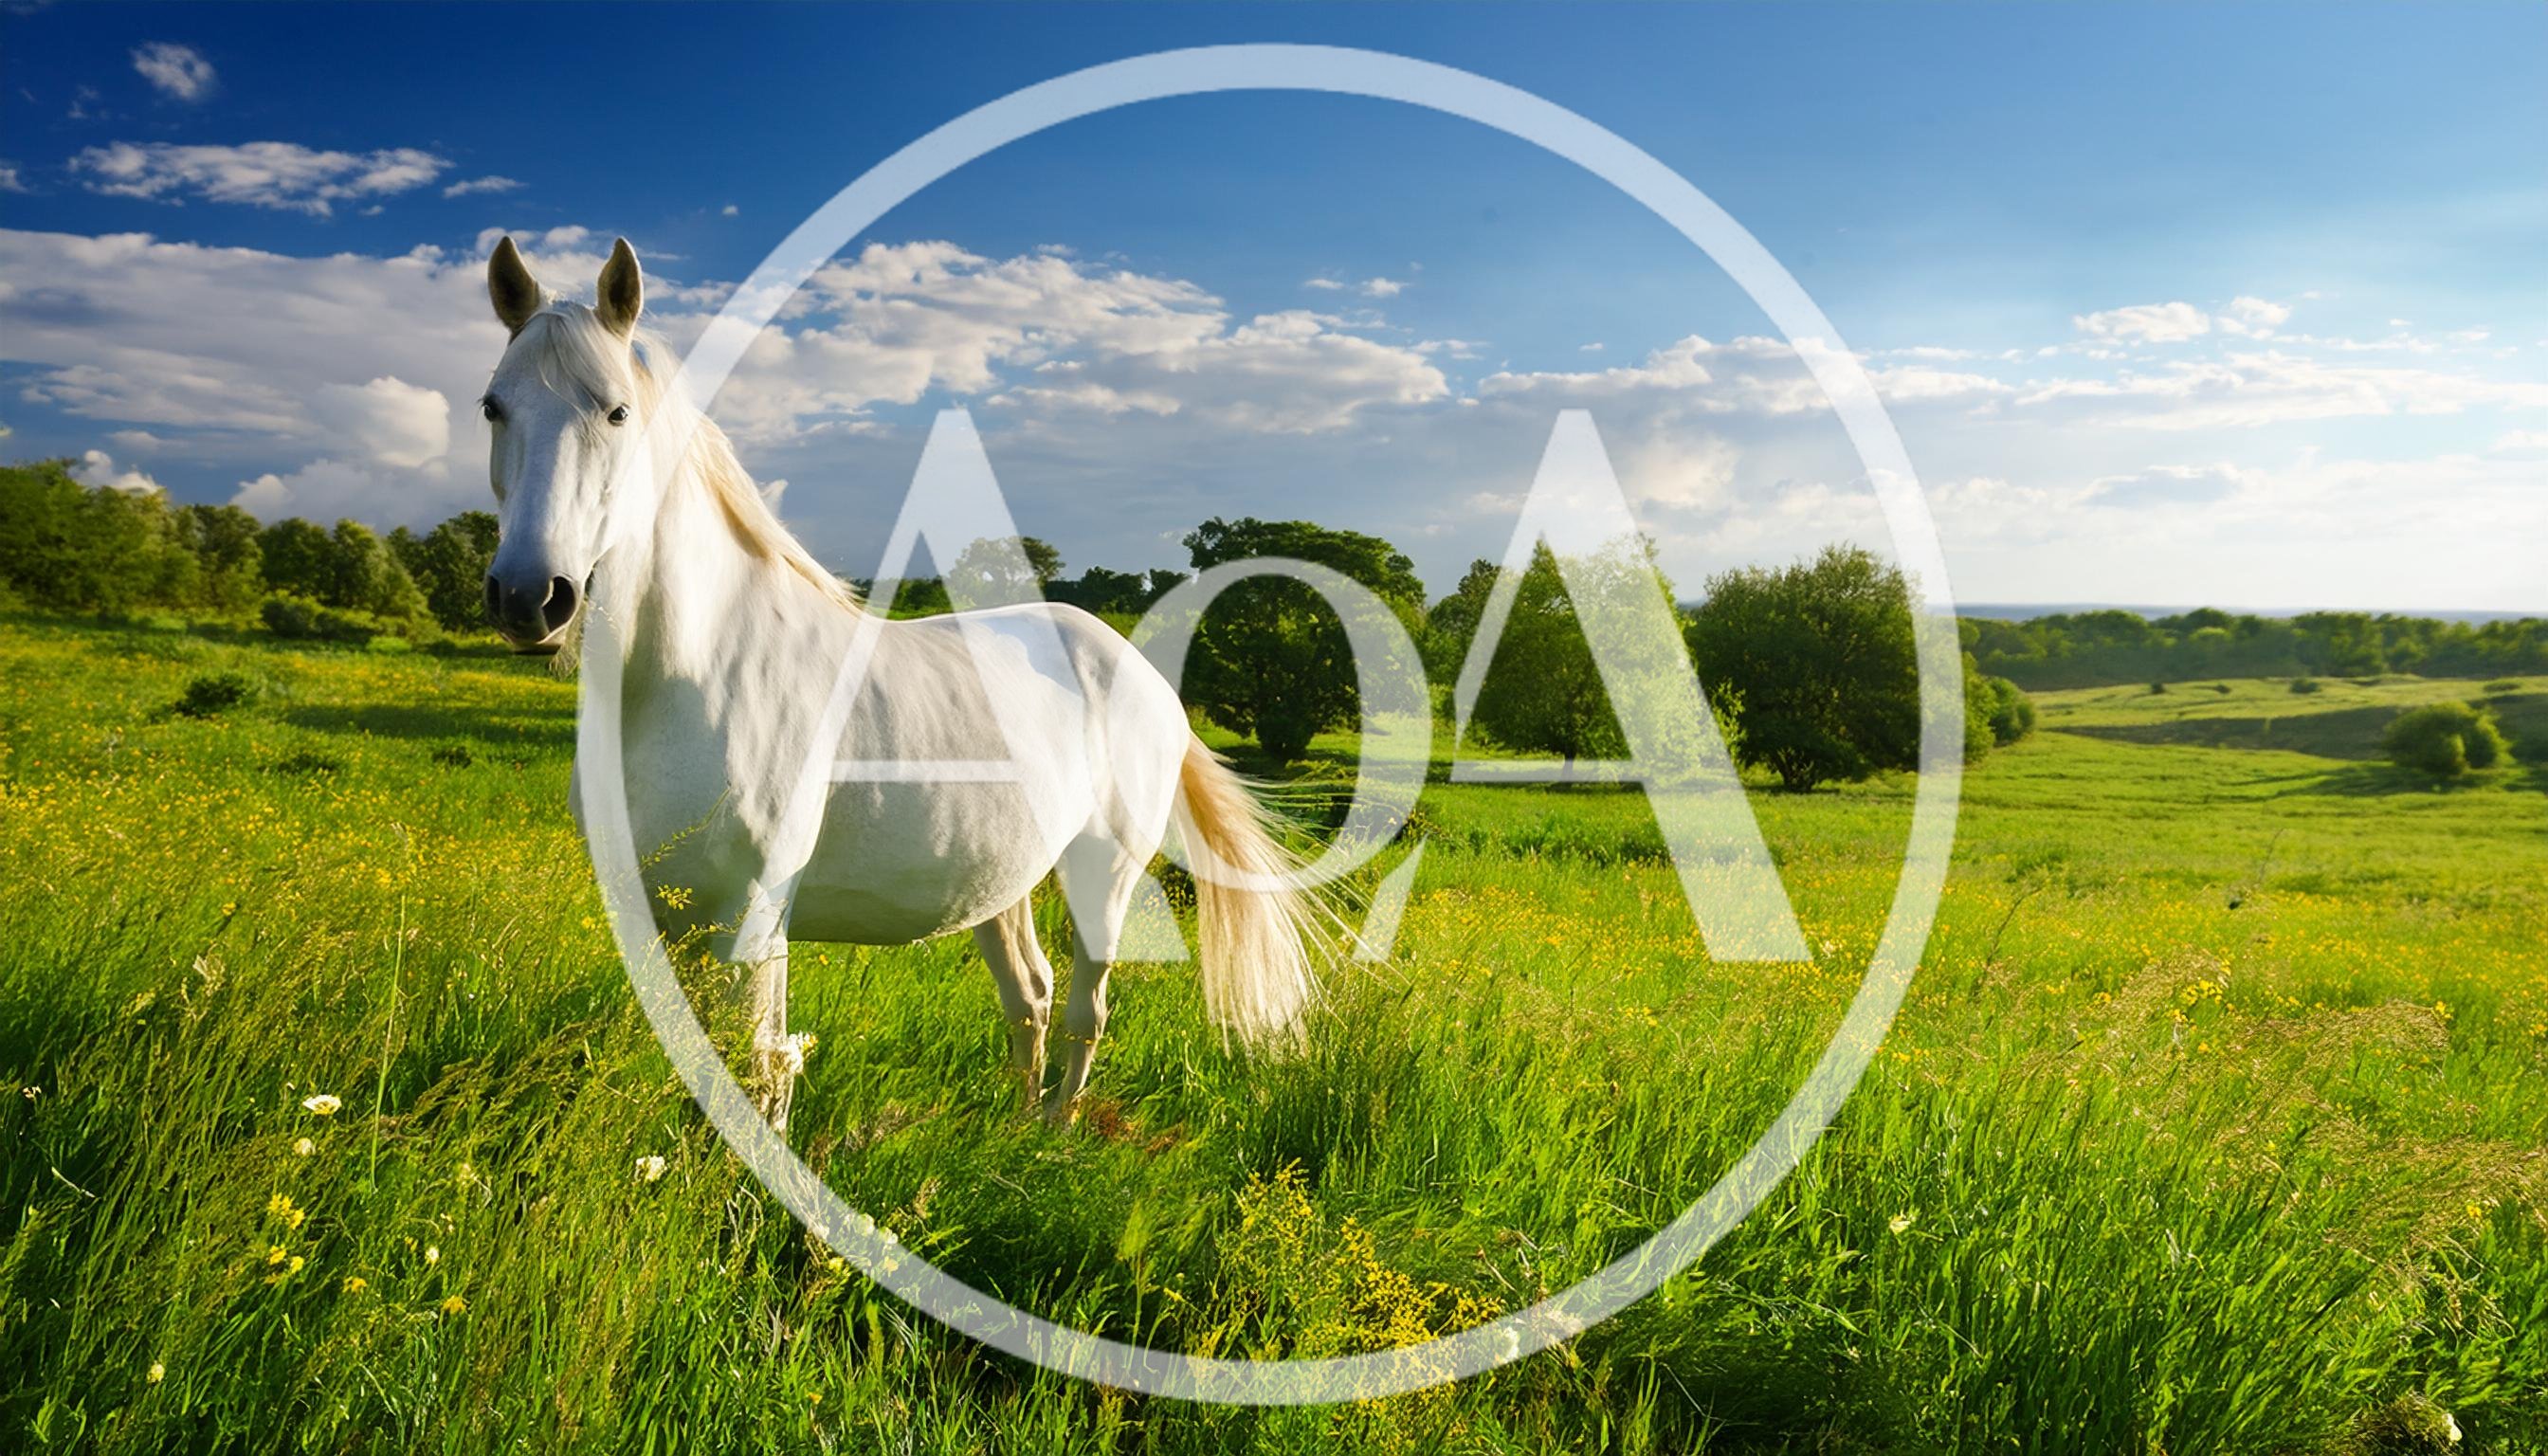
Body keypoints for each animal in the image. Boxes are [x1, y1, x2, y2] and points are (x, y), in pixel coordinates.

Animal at [475, 235, 1323, 1129]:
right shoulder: (665, 923)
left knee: (1085, 1010)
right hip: (1002, 883)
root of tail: (1142, 674)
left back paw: (1056, 1135)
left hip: (1105, 876)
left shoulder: (751, 923)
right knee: (1030, 995)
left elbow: (761, 1076)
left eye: (616, 413)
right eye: (493, 407)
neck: (690, 677)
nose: (530, 597)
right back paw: (1017, 1132)